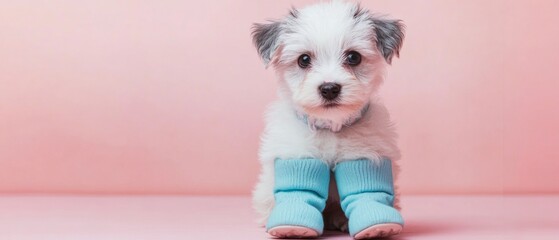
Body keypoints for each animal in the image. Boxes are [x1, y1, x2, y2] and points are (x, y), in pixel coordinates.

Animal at [252, 0, 404, 238]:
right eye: (304, 60)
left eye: (353, 57)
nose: (329, 88)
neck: (331, 127)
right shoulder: (297, 153)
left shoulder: (364, 155)